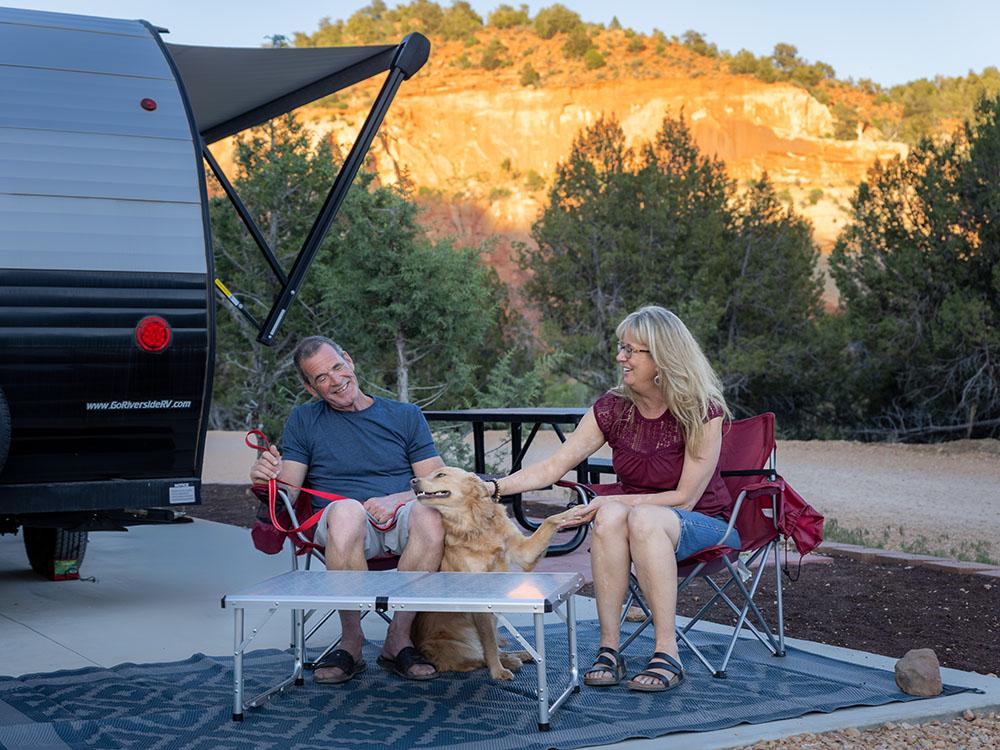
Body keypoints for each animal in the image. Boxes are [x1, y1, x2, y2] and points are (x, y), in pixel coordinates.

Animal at [408, 470, 580, 680]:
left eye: (440, 474)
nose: (412, 481)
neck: (474, 525)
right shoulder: (480, 601)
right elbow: (489, 643)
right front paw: (497, 672)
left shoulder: (525, 553)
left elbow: (549, 520)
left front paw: (573, 512)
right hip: (457, 647)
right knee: (480, 656)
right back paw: (510, 661)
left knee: (494, 649)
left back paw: (519, 655)